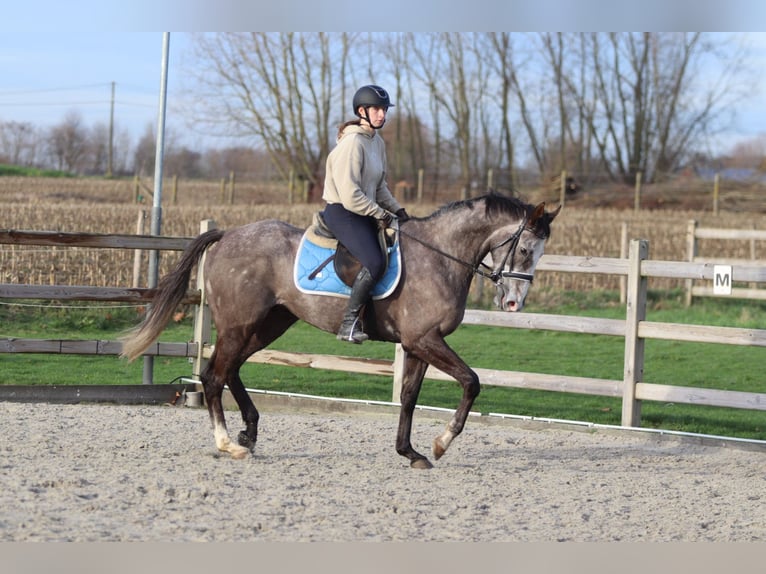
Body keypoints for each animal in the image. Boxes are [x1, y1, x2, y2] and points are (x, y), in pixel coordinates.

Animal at [121, 192, 560, 469]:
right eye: (524, 249)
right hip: (239, 324)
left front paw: (410, 452)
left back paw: (249, 432)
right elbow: (471, 382)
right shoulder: (425, 340)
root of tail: (228, 234)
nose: (513, 304)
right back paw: (230, 443)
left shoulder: (417, 344)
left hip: (269, 324)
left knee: (230, 370)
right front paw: (441, 443)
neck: (440, 257)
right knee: (214, 376)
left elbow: (408, 398)